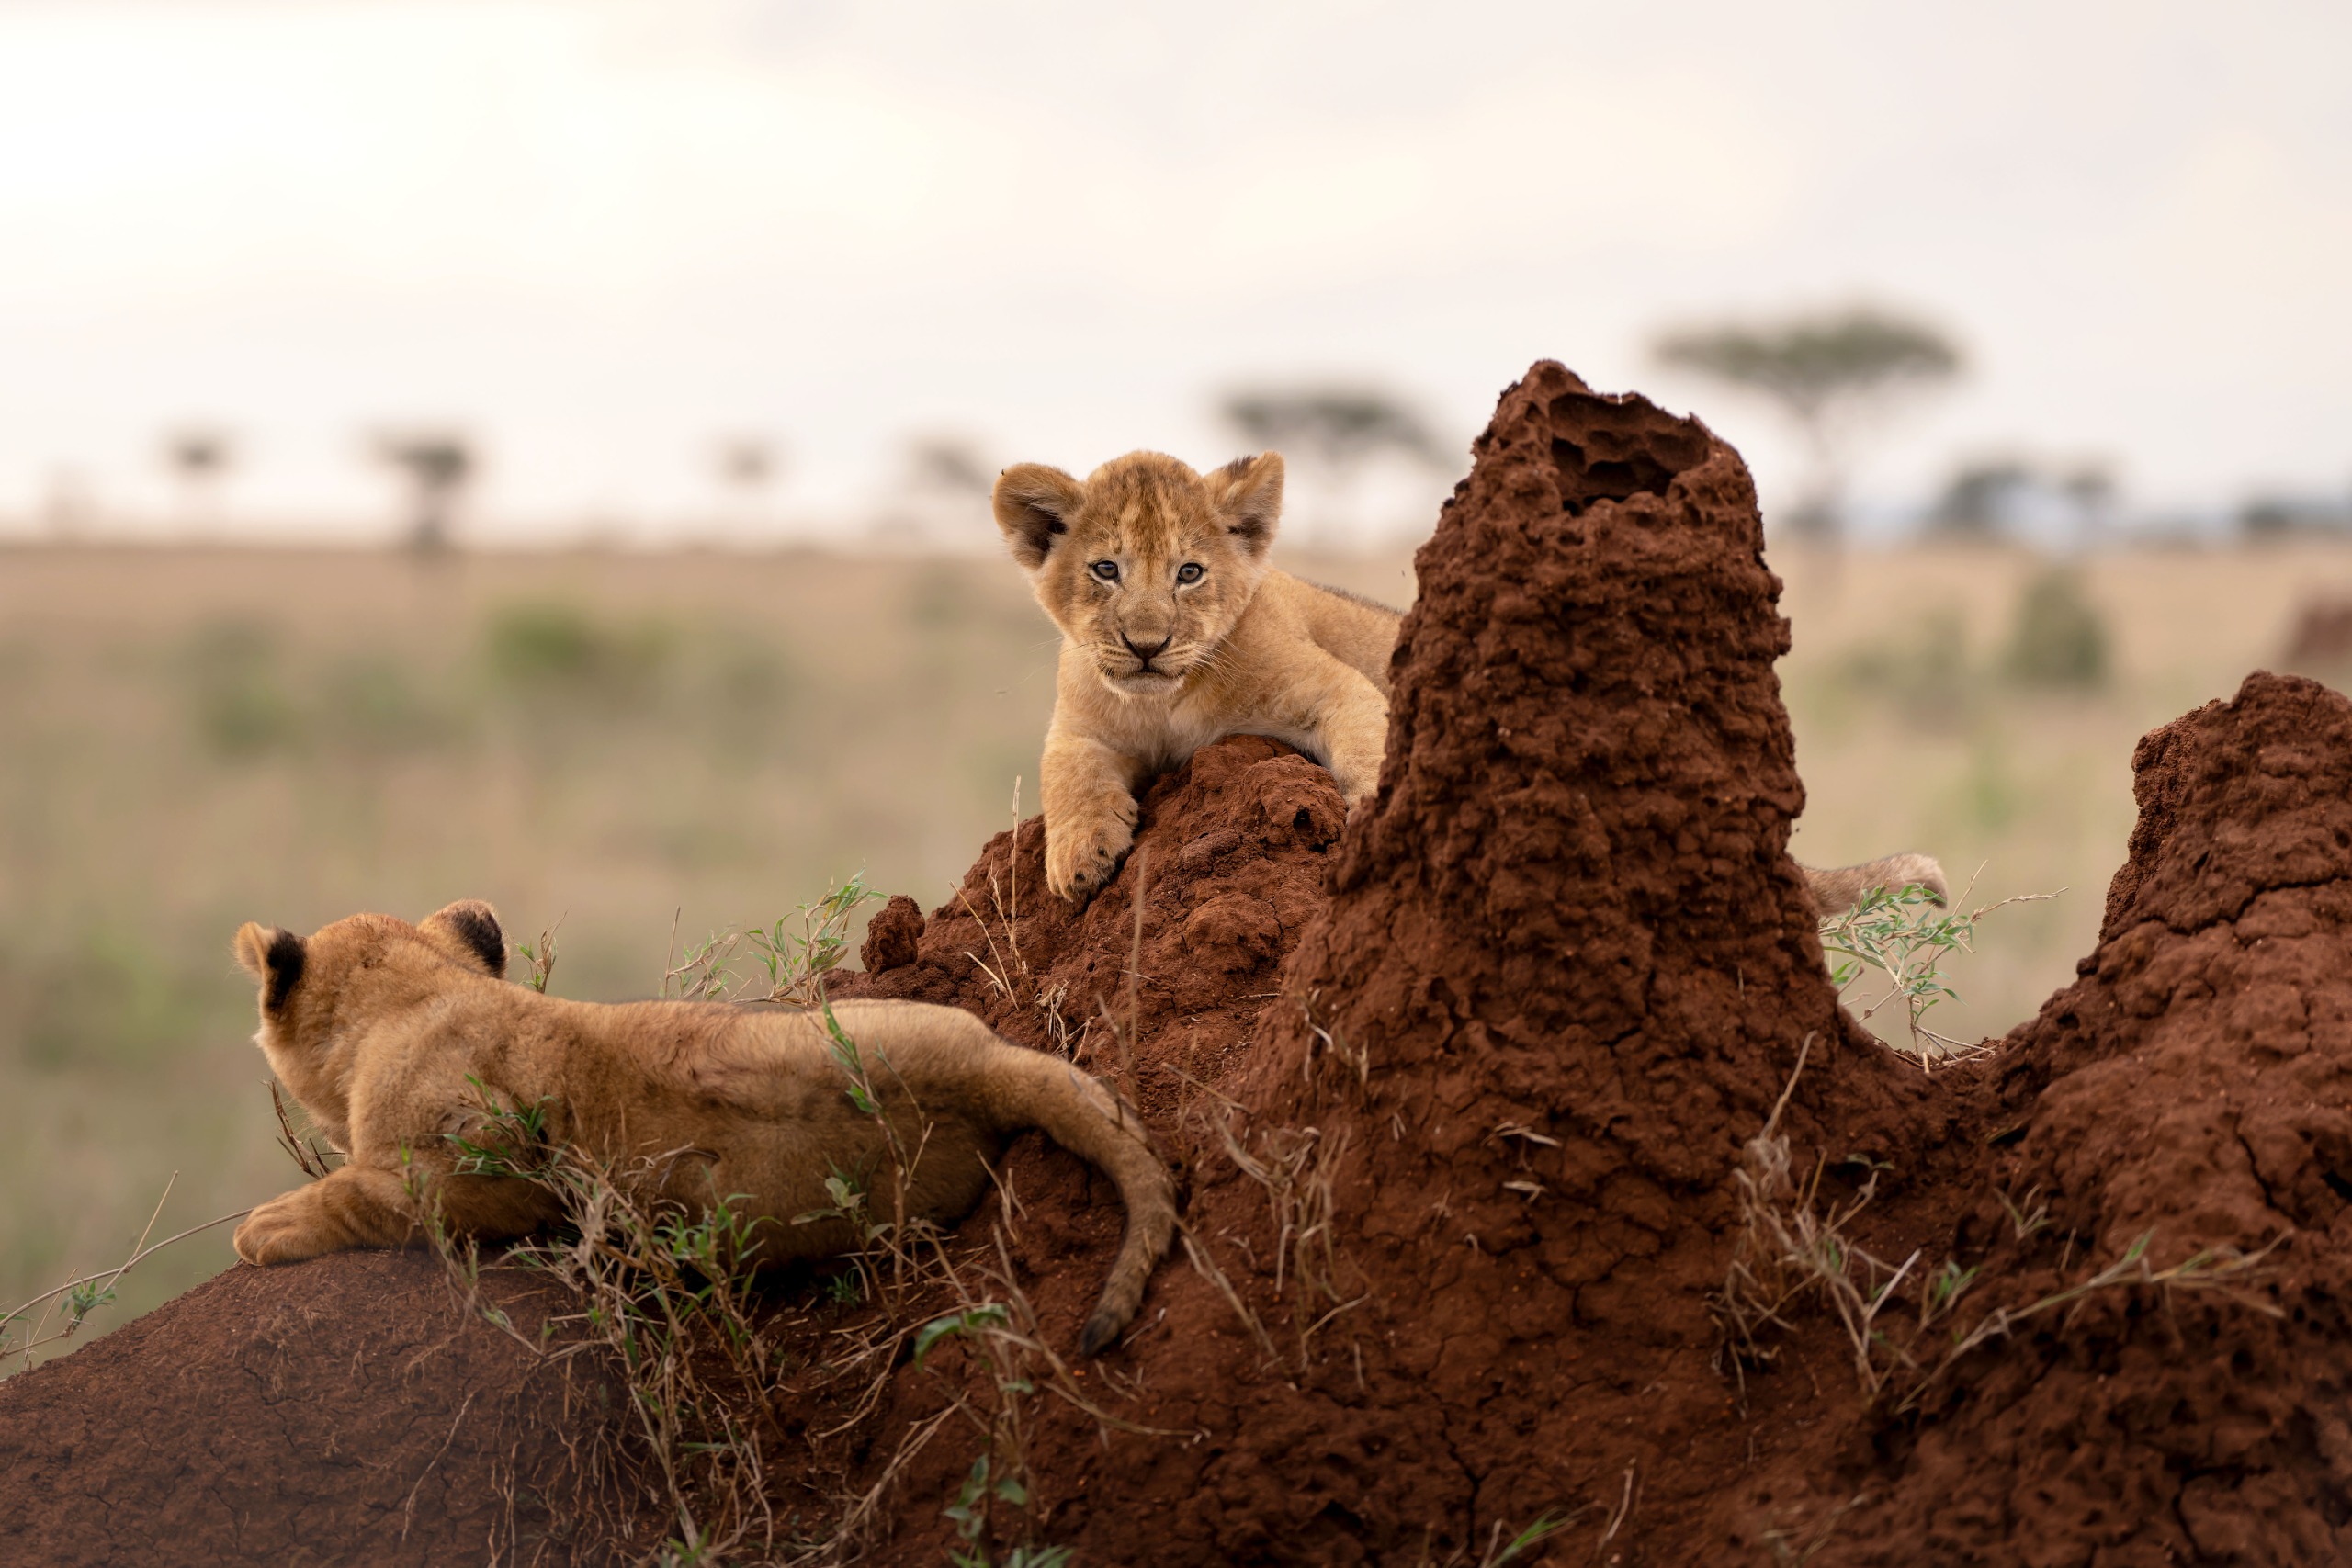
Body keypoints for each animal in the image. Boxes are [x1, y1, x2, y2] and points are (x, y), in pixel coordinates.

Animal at [992, 448, 1943, 914]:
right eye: (1107, 569)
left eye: (1190, 573)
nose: (1147, 644)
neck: (1176, 699)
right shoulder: (1082, 725)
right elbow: (1066, 775)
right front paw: (1077, 858)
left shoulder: (1325, 685)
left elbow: (1366, 732)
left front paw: (1370, 807)